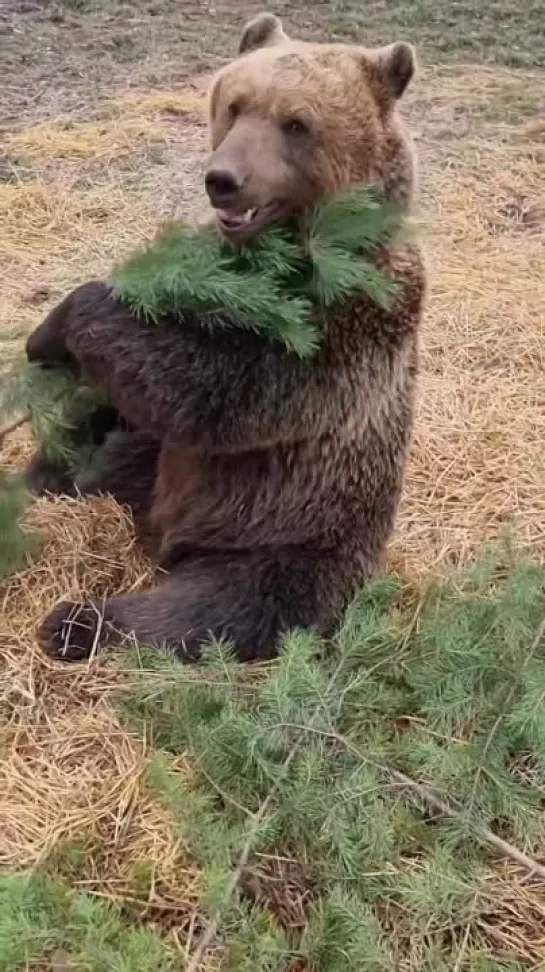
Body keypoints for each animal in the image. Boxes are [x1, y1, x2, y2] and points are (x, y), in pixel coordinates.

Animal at [24, 15, 424, 664]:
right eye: (235, 105)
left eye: (297, 123)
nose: (224, 180)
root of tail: (163, 537)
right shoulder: (206, 282)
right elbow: (153, 350)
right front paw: (49, 344)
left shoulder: (346, 313)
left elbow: (220, 389)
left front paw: (58, 323)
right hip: (156, 464)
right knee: (108, 454)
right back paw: (43, 475)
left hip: (284, 536)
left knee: (213, 608)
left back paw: (76, 621)